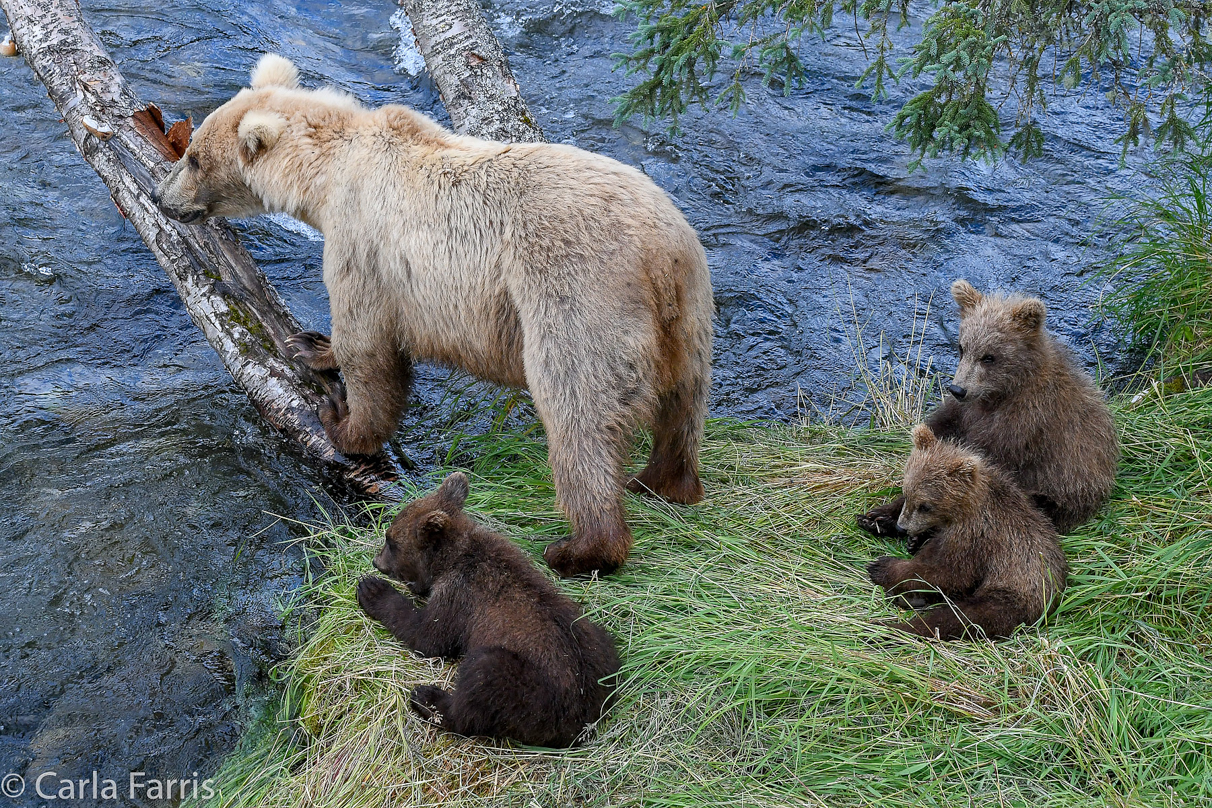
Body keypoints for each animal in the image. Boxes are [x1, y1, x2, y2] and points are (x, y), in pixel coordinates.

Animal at [156, 55, 712, 574]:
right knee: (682, 403)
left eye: (194, 156)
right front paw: (312, 343)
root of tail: (659, 254)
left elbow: (368, 344)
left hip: (577, 294)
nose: (163, 197)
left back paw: (580, 547)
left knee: (580, 411)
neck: (326, 177)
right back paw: (661, 481)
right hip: (689, 309)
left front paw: (340, 416)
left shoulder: (362, 243)